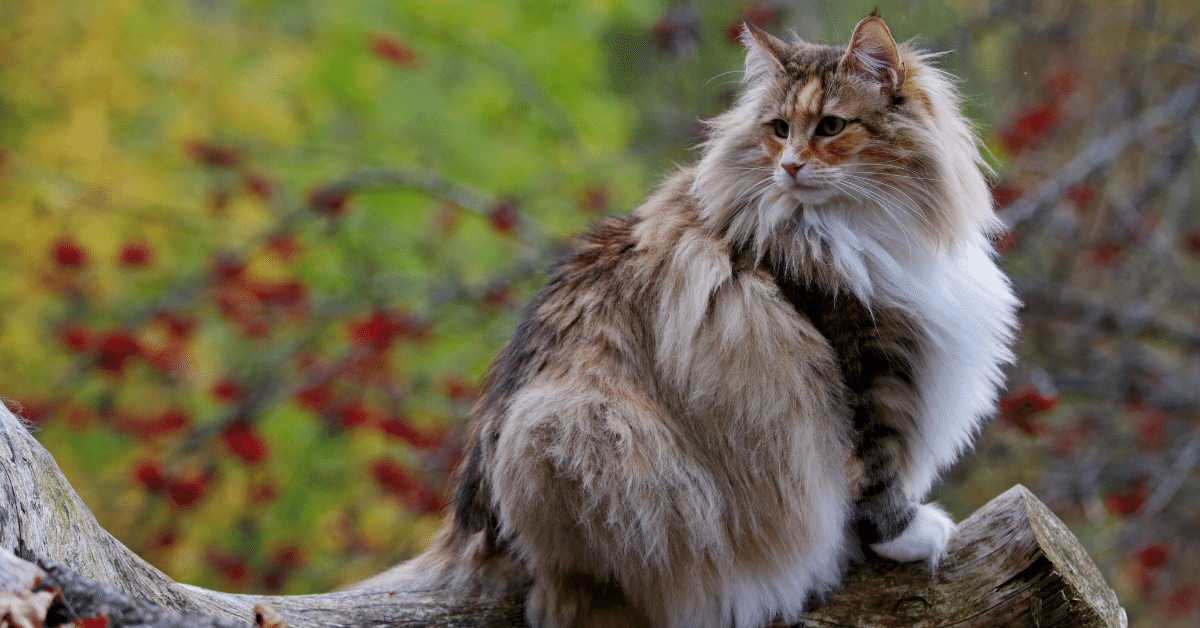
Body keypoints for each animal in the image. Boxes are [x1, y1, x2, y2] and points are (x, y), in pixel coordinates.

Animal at [350, 13, 1017, 628]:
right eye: (779, 130)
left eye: (830, 126)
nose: (790, 167)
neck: (856, 228)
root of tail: (467, 530)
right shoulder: (866, 360)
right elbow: (876, 470)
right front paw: (909, 536)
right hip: (576, 426)